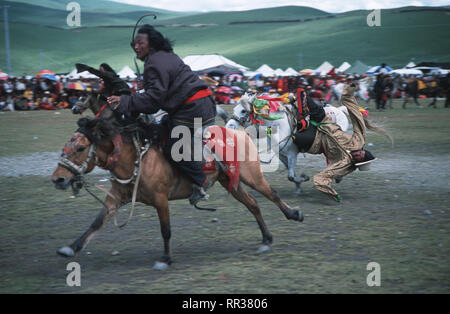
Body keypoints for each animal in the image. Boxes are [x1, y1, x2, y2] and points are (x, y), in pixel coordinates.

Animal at [52, 113, 304, 270]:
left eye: (80, 147)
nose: (58, 179)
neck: (135, 159)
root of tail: (241, 133)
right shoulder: (116, 198)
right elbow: (97, 222)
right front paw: (71, 248)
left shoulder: (160, 200)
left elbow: (166, 230)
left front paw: (165, 259)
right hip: (230, 181)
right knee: (253, 203)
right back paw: (266, 238)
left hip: (251, 175)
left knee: (271, 194)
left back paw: (294, 214)